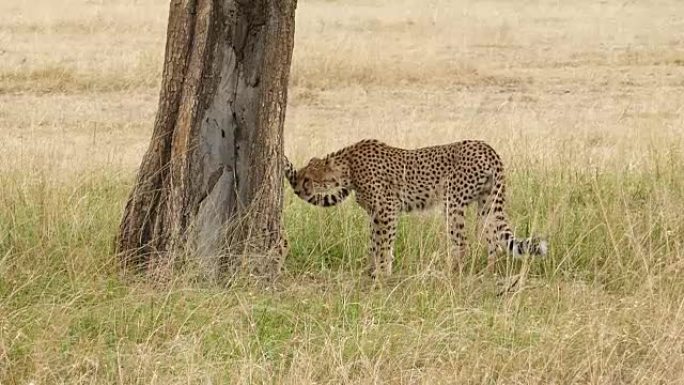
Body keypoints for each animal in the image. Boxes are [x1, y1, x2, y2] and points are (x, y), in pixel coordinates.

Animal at [286, 140, 548, 278]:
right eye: (302, 176)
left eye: (308, 178)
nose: (298, 187)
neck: (347, 166)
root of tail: (487, 147)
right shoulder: (376, 213)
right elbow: (374, 242)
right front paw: (373, 270)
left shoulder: (387, 209)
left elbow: (384, 243)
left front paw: (382, 274)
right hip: (486, 203)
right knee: (493, 240)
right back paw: (487, 273)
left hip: (453, 202)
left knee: (462, 242)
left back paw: (451, 273)